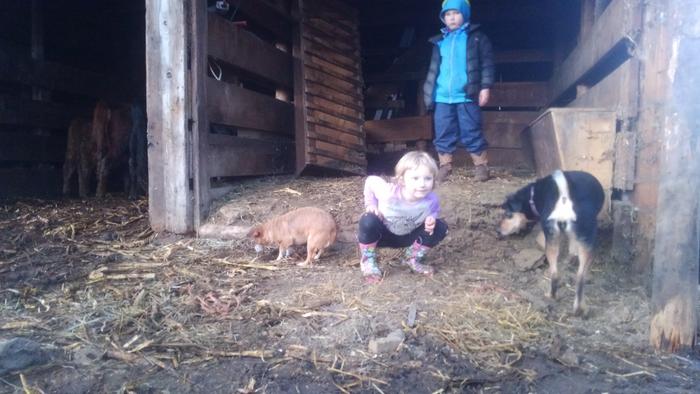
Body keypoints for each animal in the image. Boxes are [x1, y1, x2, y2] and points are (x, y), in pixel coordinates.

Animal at [498, 169, 608, 314]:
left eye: (507, 214)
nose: (498, 231)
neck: (533, 196)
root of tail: (564, 198)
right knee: (578, 276)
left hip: (554, 236)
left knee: (559, 274)